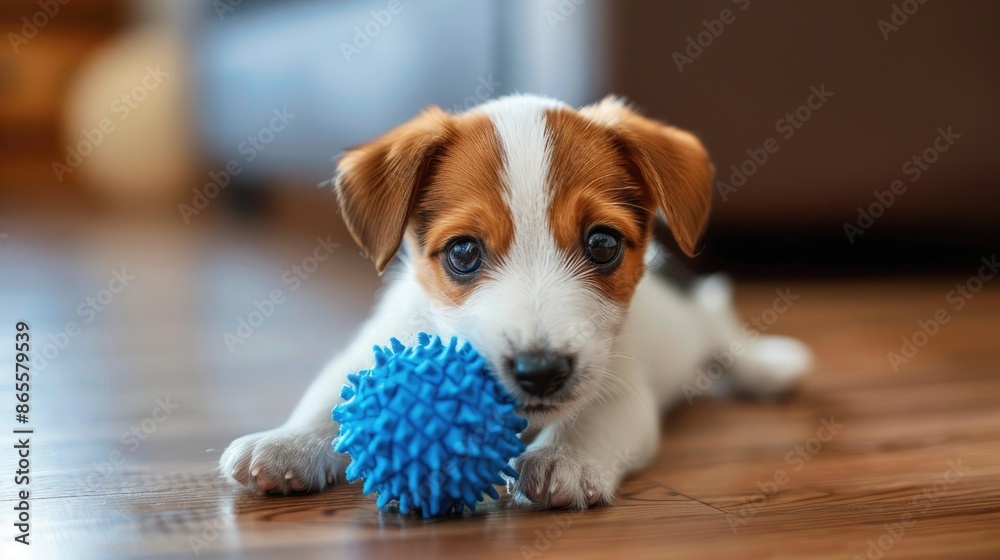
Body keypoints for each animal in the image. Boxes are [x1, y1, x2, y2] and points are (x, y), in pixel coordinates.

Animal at [221, 94, 812, 510]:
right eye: (463, 252)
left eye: (602, 244)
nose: (540, 370)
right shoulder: (373, 347)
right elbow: (330, 396)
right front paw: (286, 442)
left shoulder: (622, 386)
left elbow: (592, 418)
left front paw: (563, 458)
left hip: (702, 318)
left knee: (723, 329)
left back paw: (769, 368)